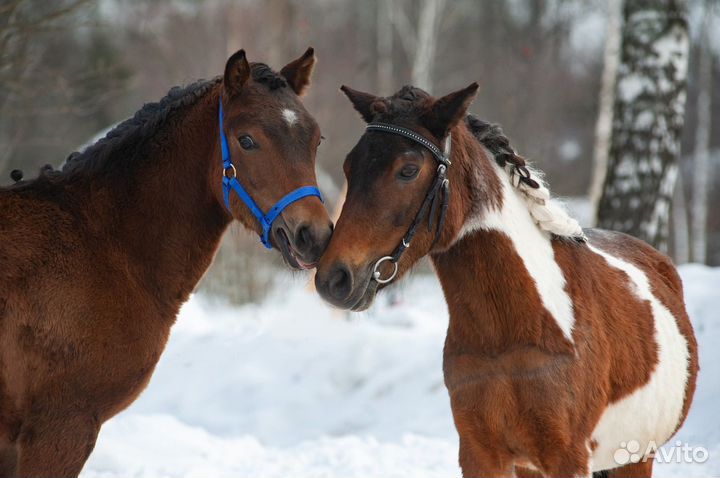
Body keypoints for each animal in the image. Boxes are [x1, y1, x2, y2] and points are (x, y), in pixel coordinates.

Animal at [316, 85, 696, 478]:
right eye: (350, 166)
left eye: (408, 170)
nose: (334, 278)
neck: (512, 331)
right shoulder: (481, 455)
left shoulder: (568, 459)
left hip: (636, 458)